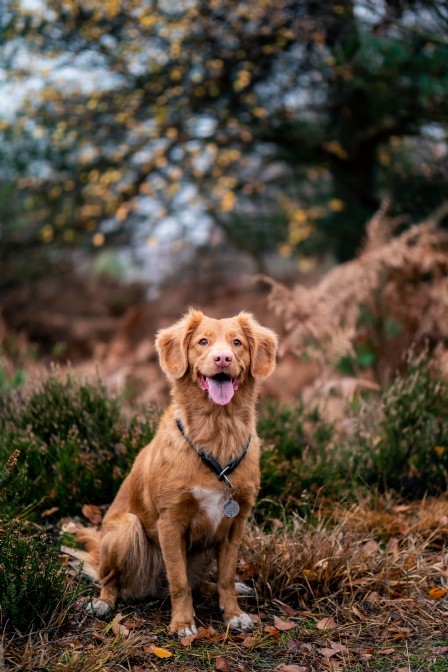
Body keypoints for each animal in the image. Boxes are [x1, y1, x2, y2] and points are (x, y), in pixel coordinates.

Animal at [79, 308, 278, 636]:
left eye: (237, 342)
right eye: (202, 342)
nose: (222, 358)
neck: (218, 429)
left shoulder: (236, 523)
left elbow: (224, 577)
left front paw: (234, 614)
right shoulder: (170, 522)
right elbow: (179, 581)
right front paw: (183, 623)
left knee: (203, 583)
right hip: (127, 530)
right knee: (111, 580)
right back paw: (103, 603)